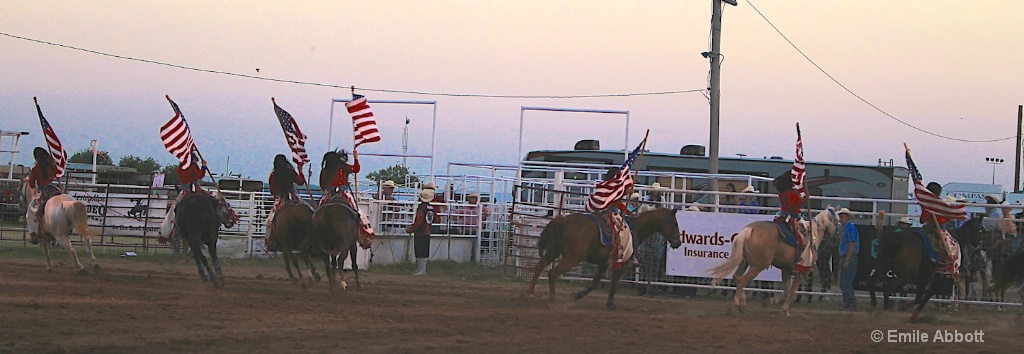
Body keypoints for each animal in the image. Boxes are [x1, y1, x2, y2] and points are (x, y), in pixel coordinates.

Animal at [524, 207, 684, 308]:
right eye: (675, 223)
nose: (678, 242)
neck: (635, 229)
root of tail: (564, 220)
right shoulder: (622, 263)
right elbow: (614, 283)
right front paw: (610, 304)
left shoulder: (603, 263)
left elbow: (595, 283)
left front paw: (578, 295)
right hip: (573, 257)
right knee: (553, 273)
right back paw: (551, 299)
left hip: (554, 251)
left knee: (539, 267)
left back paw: (528, 293)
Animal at [704, 205, 839, 317]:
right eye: (837, 221)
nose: (836, 235)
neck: (813, 234)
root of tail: (749, 229)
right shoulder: (802, 271)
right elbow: (791, 291)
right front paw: (785, 311)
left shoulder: (786, 268)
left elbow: (786, 290)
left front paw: (768, 302)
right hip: (758, 265)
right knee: (742, 280)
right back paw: (736, 306)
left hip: (745, 262)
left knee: (737, 277)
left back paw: (741, 302)